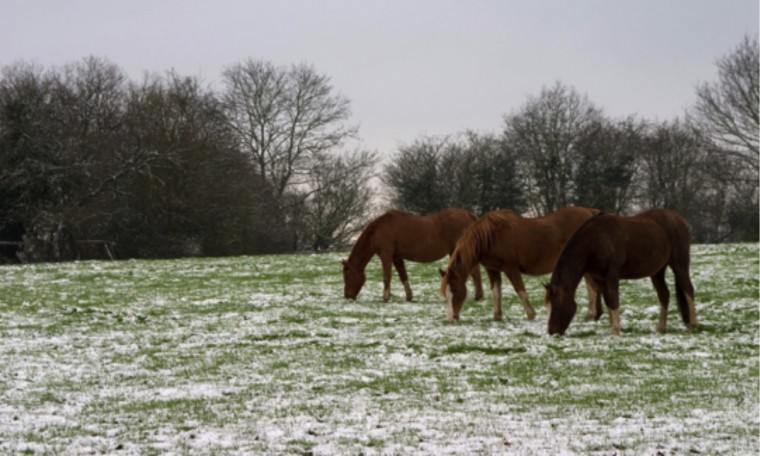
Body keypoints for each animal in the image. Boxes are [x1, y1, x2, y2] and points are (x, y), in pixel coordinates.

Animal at [342, 209, 484, 302]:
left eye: (347, 276)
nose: (347, 296)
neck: (379, 229)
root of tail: (469, 215)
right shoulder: (397, 257)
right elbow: (403, 276)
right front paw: (409, 296)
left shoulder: (386, 255)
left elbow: (387, 276)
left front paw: (385, 297)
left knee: (475, 272)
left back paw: (477, 296)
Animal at [440, 205, 600, 322]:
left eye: (455, 290)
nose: (451, 318)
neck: (491, 237)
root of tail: (589, 213)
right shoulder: (492, 270)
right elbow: (496, 292)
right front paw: (497, 316)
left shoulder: (511, 268)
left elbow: (520, 290)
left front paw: (531, 314)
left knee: (591, 287)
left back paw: (590, 315)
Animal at [544, 209, 696, 334]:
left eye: (556, 304)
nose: (552, 331)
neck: (597, 240)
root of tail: (679, 219)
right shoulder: (600, 278)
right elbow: (607, 300)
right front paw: (613, 326)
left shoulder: (612, 275)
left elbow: (613, 299)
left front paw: (615, 329)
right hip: (657, 271)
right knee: (664, 294)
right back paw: (661, 328)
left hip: (679, 263)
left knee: (688, 289)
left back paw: (693, 324)